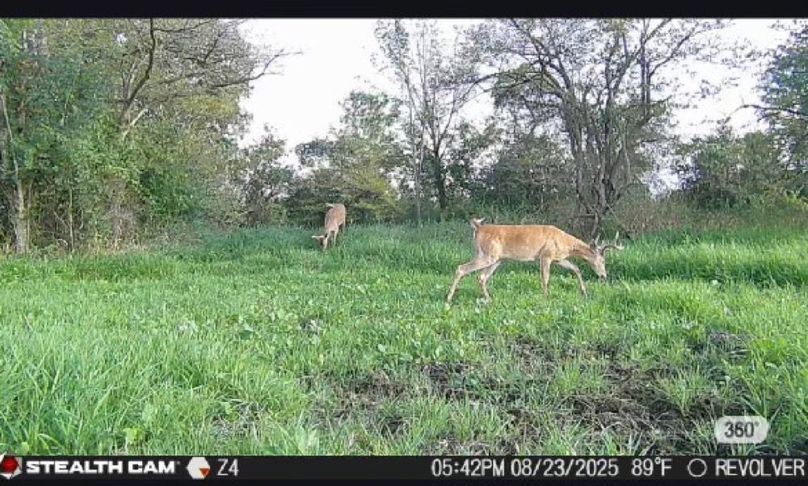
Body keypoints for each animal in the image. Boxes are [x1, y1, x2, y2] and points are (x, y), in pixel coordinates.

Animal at [446, 218, 624, 305]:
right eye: (602, 260)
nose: (604, 276)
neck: (565, 243)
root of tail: (478, 228)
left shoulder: (558, 259)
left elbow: (576, 268)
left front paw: (585, 293)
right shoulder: (546, 255)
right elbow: (545, 278)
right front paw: (546, 298)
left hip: (497, 259)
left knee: (481, 277)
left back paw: (489, 299)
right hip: (487, 255)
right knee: (461, 268)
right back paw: (448, 299)